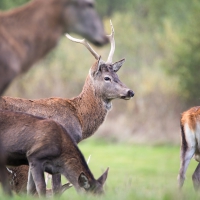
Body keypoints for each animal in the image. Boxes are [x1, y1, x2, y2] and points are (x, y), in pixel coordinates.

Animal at [0, 21, 134, 194]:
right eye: (107, 78)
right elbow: (56, 187)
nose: (130, 91)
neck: (79, 118)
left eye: (118, 76)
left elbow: (31, 188)